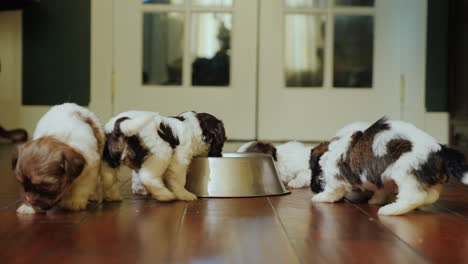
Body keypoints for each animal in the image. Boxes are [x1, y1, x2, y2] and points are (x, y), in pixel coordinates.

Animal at [308, 118, 468, 216]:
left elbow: (332, 189)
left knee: (414, 196)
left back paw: (391, 210)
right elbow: (382, 189)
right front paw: (376, 200)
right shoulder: (381, 176)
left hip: (405, 172)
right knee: (432, 195)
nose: (312, 188)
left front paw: (322, 197)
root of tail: (441, 150)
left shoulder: (335, 174)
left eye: (313, 172)